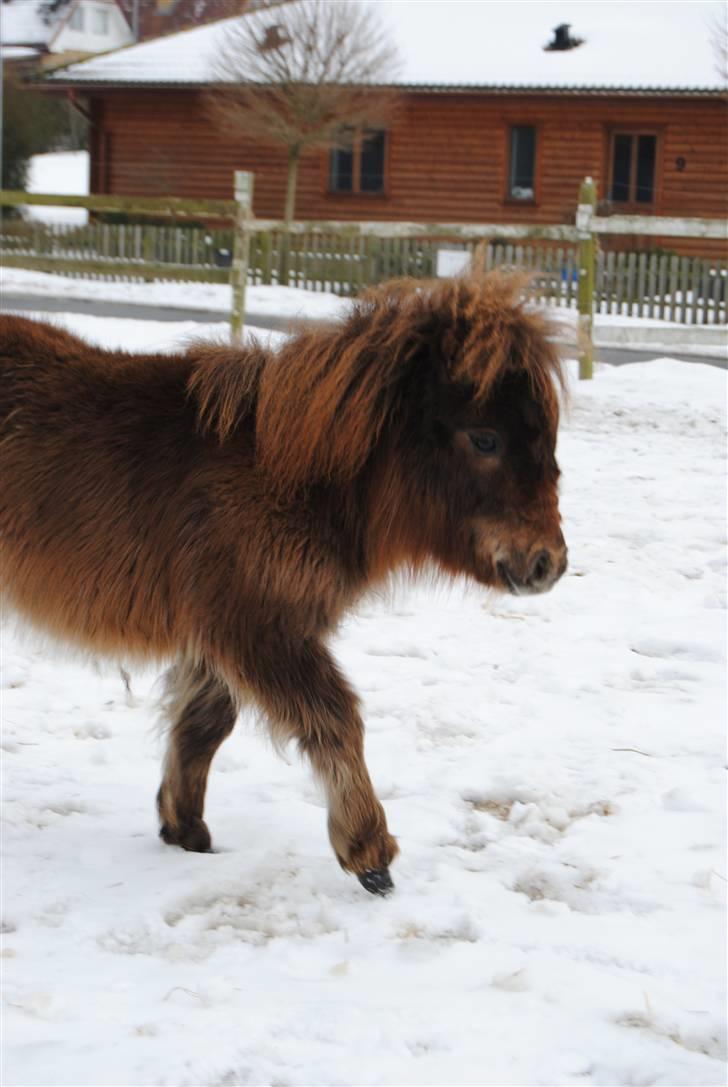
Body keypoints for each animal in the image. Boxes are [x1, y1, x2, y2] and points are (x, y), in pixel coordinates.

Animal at [0, 276, 569, 895]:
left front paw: (183, 827)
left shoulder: (222, 635)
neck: (283, 471)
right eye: (485, 439)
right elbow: (335, 719)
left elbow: (203, 727)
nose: (549, 563)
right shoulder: (257, 628)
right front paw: (370, 855)